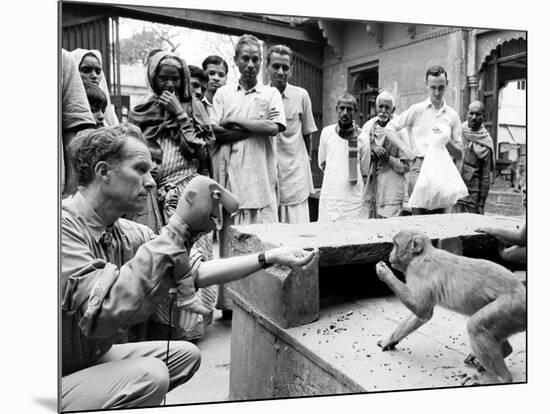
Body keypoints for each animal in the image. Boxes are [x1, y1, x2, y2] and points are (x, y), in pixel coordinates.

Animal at [378, 228, 528, 384]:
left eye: (395, 245)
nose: (390, 254)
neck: (422, 254)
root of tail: (522, 291)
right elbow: (421, 316)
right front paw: (389, 340)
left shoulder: (417, 269)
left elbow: (422, 309)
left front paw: (384, 273)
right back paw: (505, 351)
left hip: (511, 308)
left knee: (476, 326)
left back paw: (503, 378)